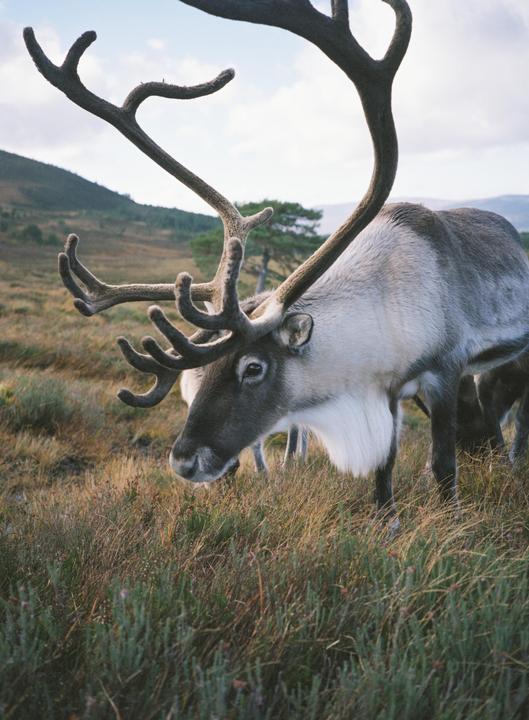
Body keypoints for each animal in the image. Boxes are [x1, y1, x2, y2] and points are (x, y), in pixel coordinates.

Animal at [24, 0, 529, 528]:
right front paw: (386, 522)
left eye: (253, 368)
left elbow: (442, 467)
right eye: (197, 377)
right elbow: (383, 477)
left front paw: (452, 518)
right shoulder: (385, 395)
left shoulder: (444, 372)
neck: (384, 314)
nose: (184, 461)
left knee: (516, 418)